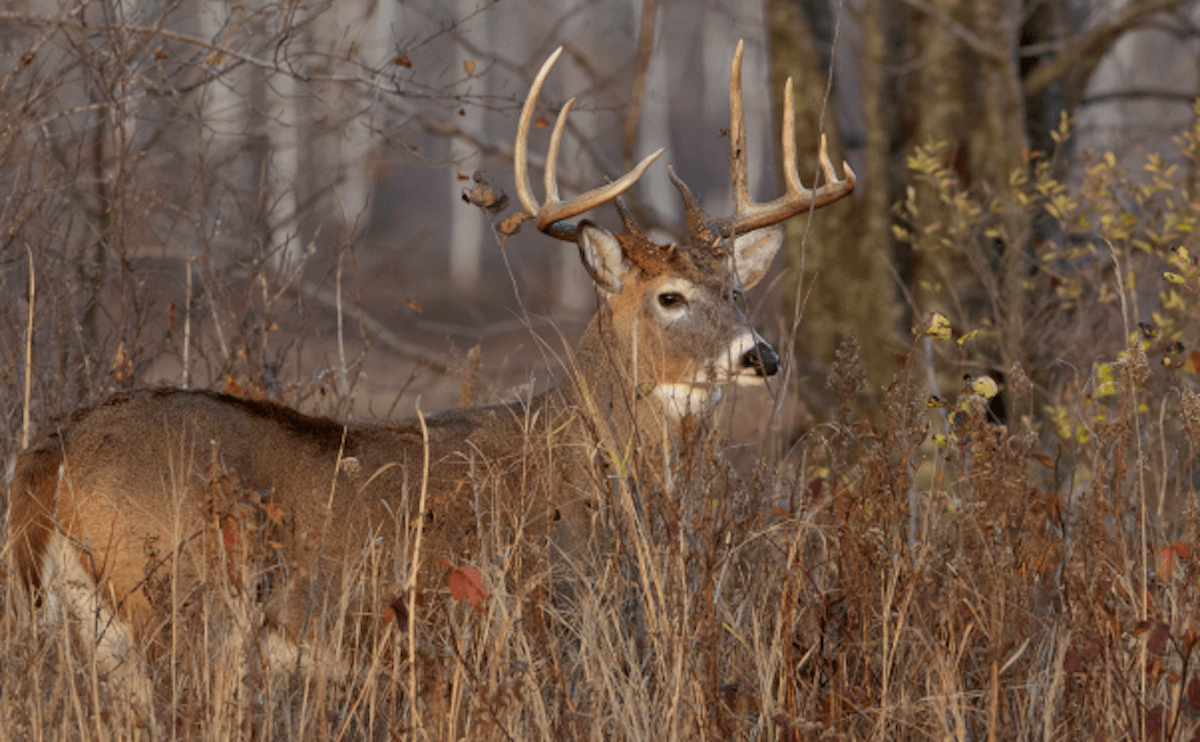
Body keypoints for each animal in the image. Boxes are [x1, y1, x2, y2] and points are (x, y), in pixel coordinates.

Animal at [6, 40, 853, 722]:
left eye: (735, 291)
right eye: (670, 298)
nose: (760, 355)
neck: (587, 468)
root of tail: (48, 454)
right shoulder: (514, 620)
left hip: (93, 622)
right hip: (170, 601)